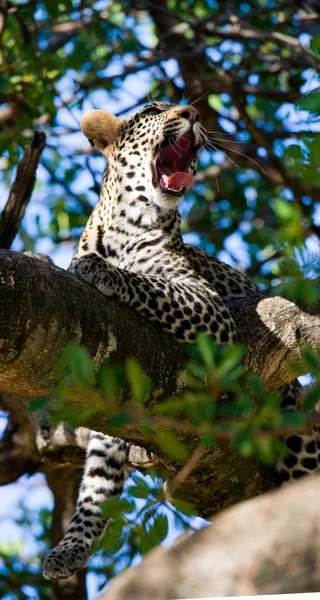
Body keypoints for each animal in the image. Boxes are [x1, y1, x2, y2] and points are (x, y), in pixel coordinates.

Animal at [42, 101, 320, 580]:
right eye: (154, 108)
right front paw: (71, 547)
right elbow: (98, 479)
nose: (191, 112)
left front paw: (100, 270)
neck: (125, 225)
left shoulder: (209, 308)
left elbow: (152, 285)